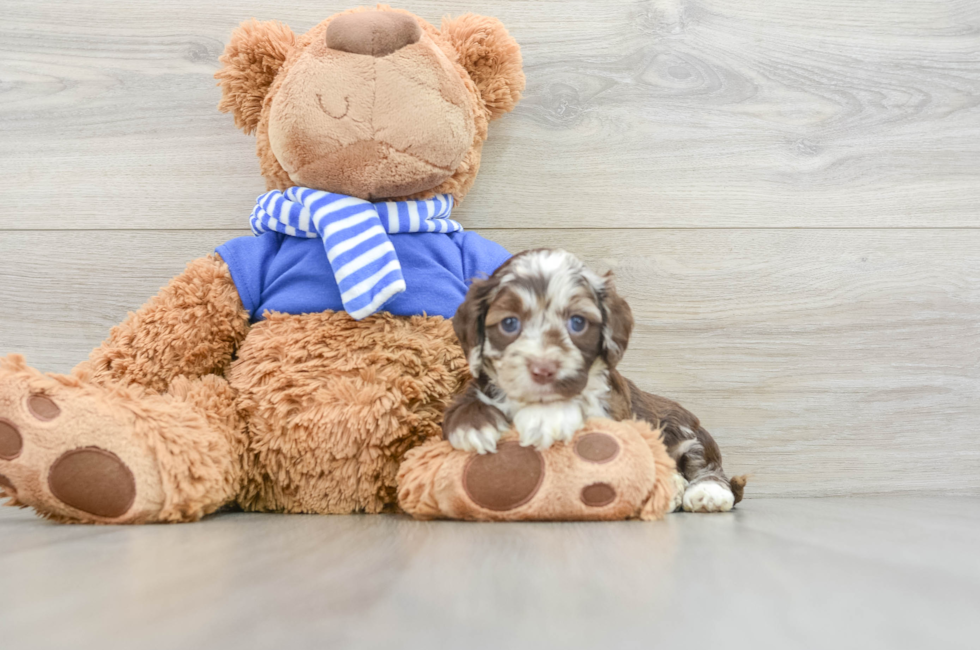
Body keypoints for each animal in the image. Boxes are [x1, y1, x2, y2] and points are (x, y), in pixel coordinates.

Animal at [444, 248, 744, 512]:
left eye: (577, 322)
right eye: (509, 323)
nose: (543, 369)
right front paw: (475, 427)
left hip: (686, 428)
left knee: (704, 463)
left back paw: (707, 493)